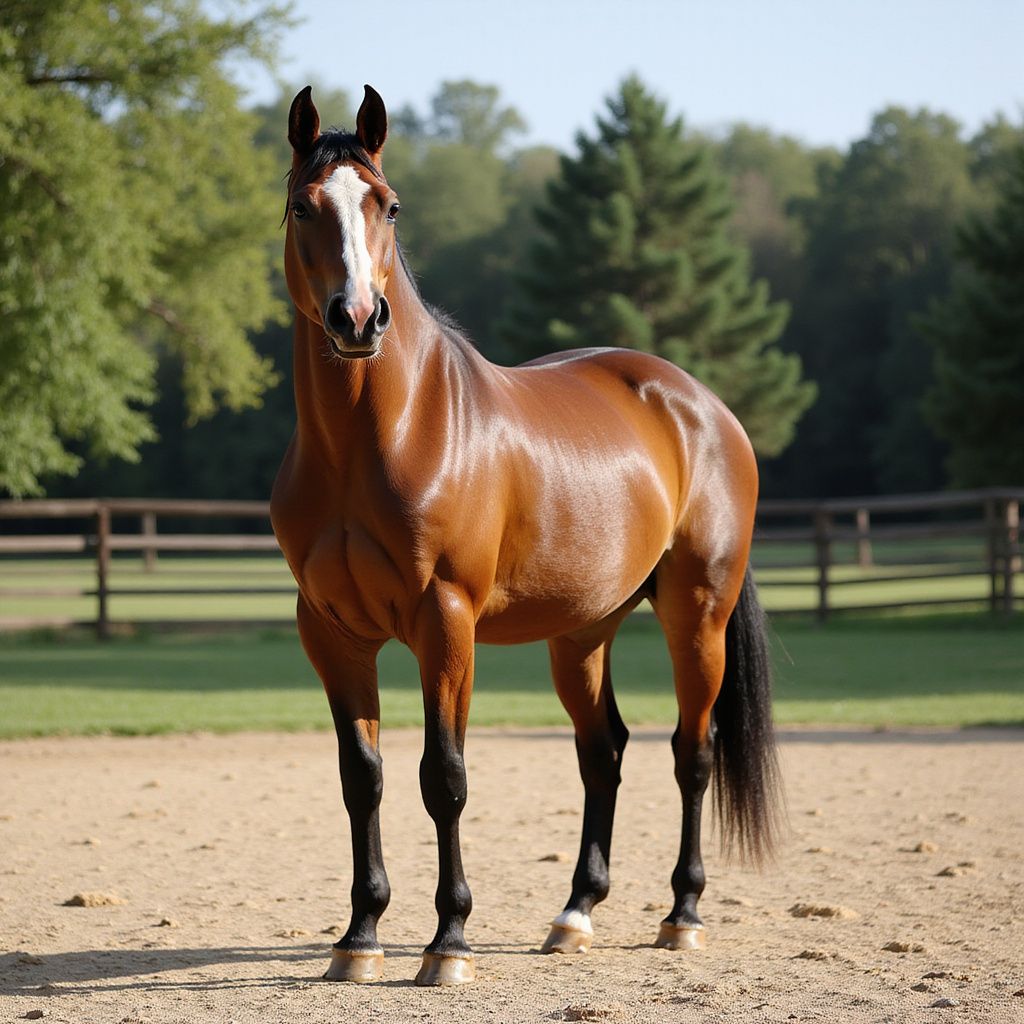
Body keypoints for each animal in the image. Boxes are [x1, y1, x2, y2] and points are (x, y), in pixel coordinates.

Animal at [270, 84, 780, 987]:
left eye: (388, 205)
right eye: (304, 206)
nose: (358, 318)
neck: (382, 436)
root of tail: (702, 406)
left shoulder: (446, 623)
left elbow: (443, 778)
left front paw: (447, 942)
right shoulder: (331, 633)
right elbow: (361, 778)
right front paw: (359, 937)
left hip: (698, 615)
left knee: (693, 752)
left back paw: (681, 915)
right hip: (582, 632)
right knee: (603, 750)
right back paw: (575, 914)